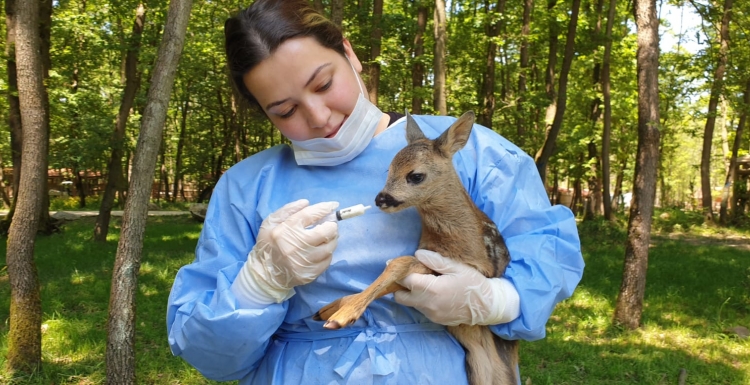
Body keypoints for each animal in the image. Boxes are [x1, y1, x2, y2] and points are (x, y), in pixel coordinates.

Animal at [314, 111, 520, 384]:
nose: (380, 199)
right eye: (388, 169)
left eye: (415, 176)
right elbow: (395, 276)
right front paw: (332, 309)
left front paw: (341, 316)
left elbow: (398, 263)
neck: (457, 239)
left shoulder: (473, 270)